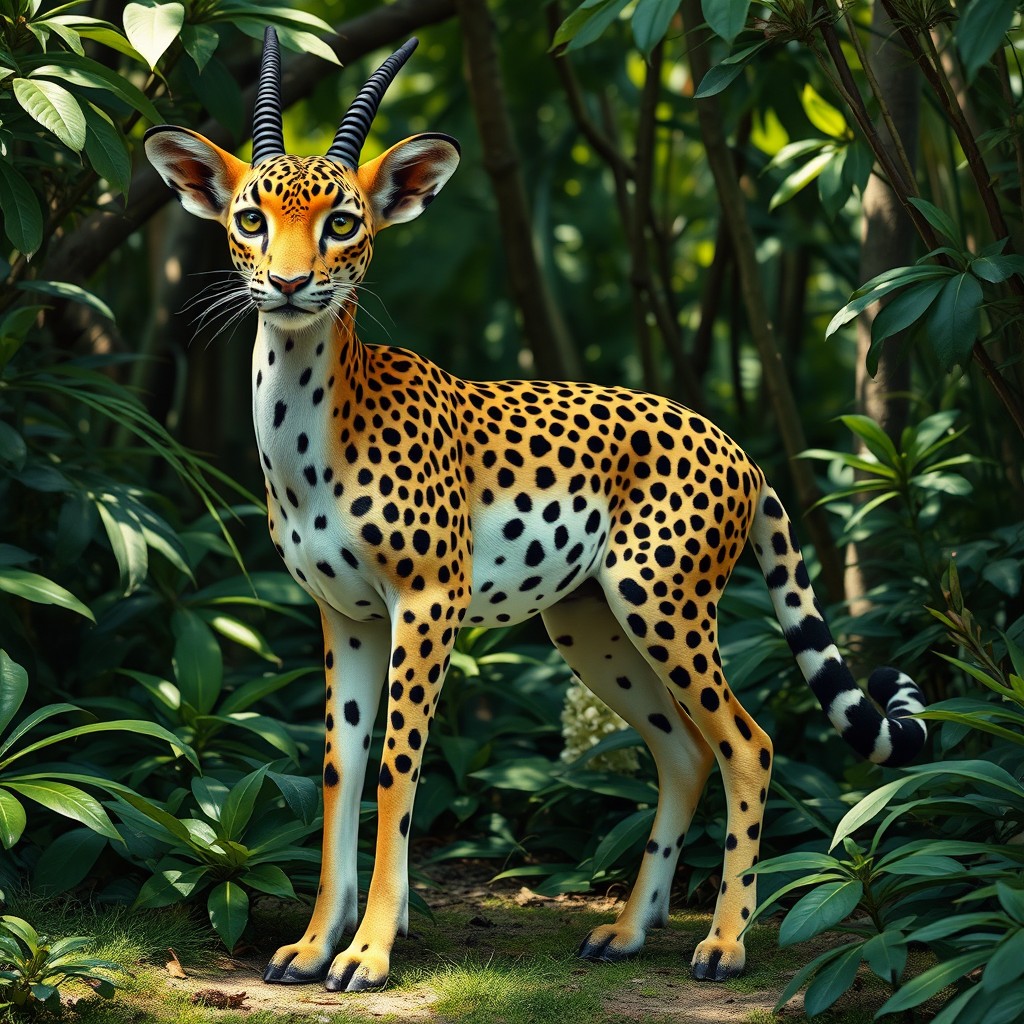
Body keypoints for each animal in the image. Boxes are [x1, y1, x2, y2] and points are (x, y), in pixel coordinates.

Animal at [145, 28, 927, 994]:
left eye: (344, 223)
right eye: (251, 218)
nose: (290, 287)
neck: (310, 426)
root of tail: (733, 441)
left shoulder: (427, 605)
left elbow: (397, 772)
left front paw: (369, 951)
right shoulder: (346, 616)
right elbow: (340, 771)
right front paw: (315, 943)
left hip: (663, 605)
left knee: (746, 744)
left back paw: (725, 943)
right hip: (589, 622)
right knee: (682, 749)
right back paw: (627, 931)